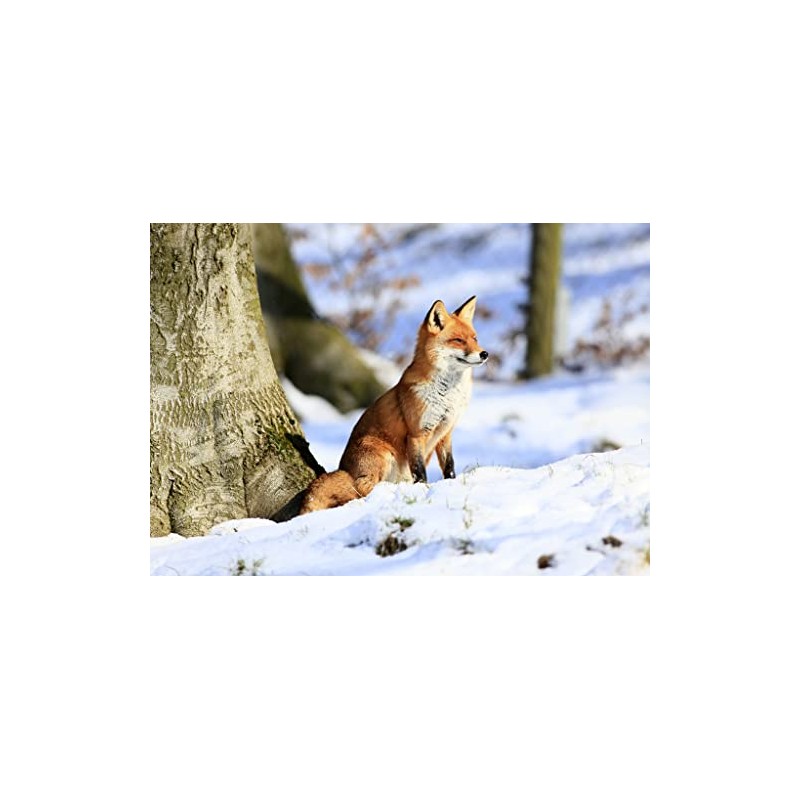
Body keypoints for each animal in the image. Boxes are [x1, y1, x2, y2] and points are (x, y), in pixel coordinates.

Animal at [299, 295, 488, 514]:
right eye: (458, 340)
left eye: (475, 338)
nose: (485, 354)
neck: (447, 394)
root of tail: (343, 468)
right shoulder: (416, 434)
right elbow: (420, 472)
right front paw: (423, 492)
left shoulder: (446, 432)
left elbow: (449, 467)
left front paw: (450, 484)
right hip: (383, 454)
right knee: (361, 489)